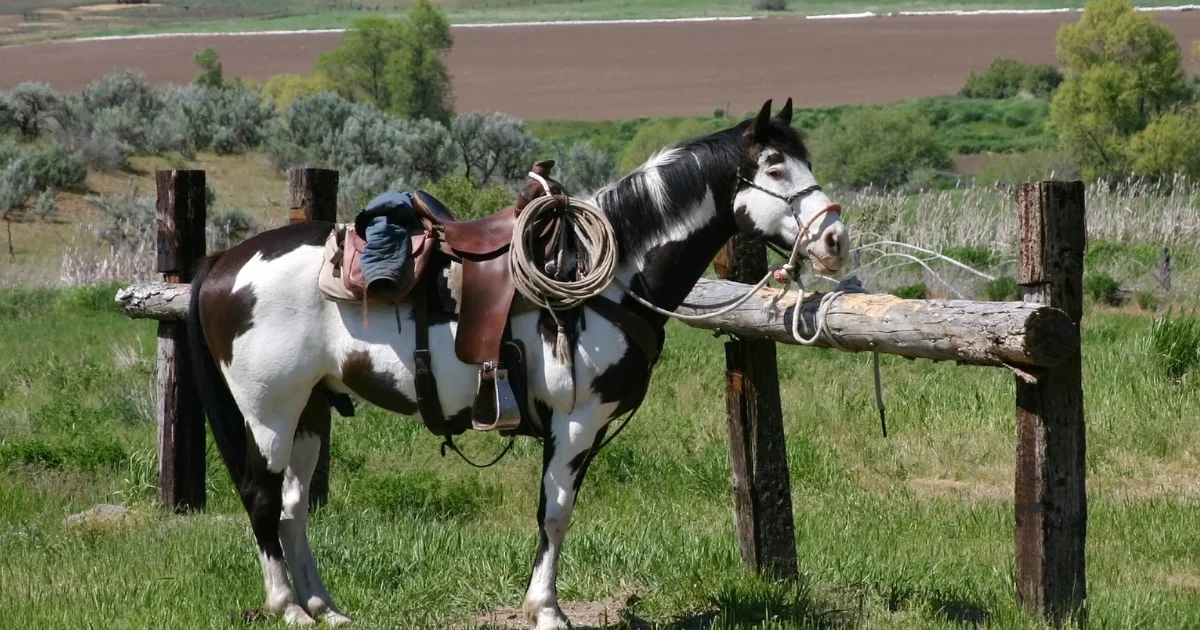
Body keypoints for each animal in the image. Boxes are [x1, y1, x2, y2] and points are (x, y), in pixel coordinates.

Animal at [184, 98, 844, 628]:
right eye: (775, 166)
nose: (835, 239)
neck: (606, 274)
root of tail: (222, 264)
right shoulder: (575, 423)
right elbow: (555, 514)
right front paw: (545, 609)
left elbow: (555, 514)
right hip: (270, 414)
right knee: (262, 498)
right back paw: (288, 607)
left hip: (311, 411)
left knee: (293, 507)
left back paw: (325, 607)